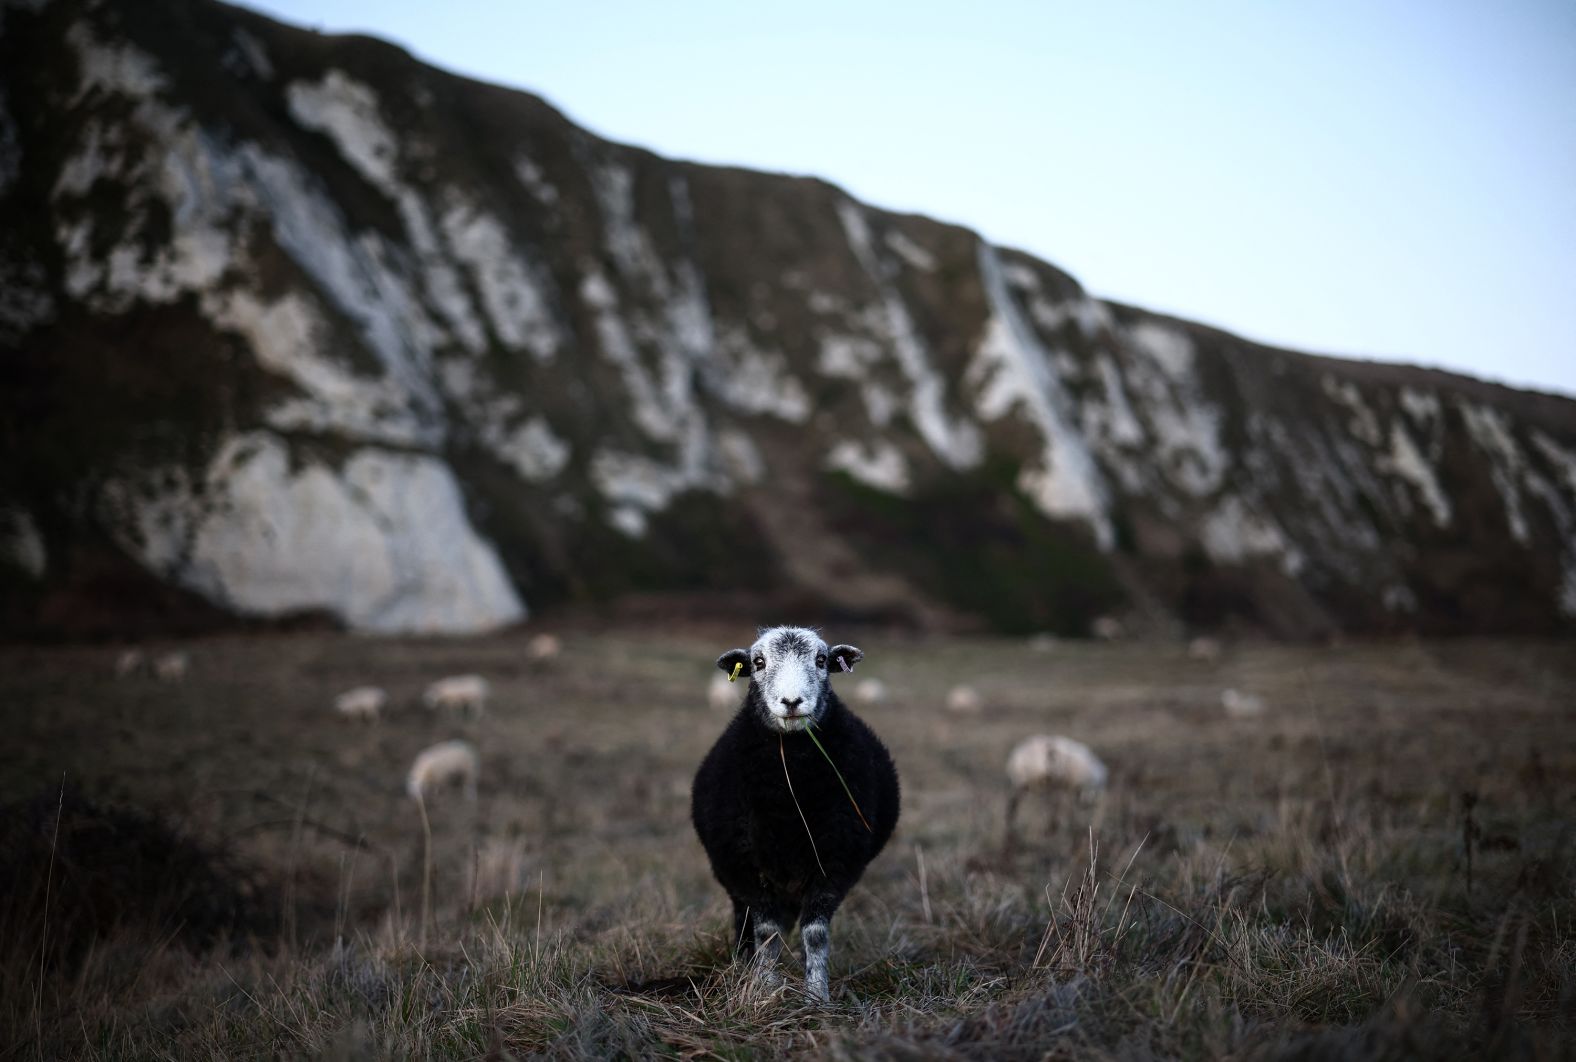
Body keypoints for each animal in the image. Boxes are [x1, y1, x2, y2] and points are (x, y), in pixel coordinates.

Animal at [690, 630, 901, 1002]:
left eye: (821, 660)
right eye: (758, 662)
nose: (792, 701)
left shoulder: (834, 862)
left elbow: (815, 933)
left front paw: (816, 997)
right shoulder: (749, 868)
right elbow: (767, 932)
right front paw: (765, 991)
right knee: (745, 922)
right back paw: (743, 966)